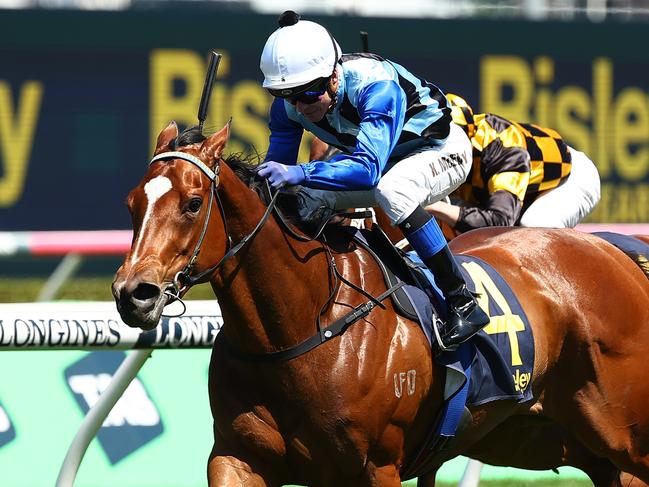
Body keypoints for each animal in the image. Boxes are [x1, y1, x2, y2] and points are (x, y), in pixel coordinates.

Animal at [114, 120, 648, 486]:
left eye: (192, 203)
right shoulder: (237, 456)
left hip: (625, 439)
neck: (302, 328)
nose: (132, 293)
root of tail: (615, 253)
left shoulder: (376, 467)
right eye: (132, 203)